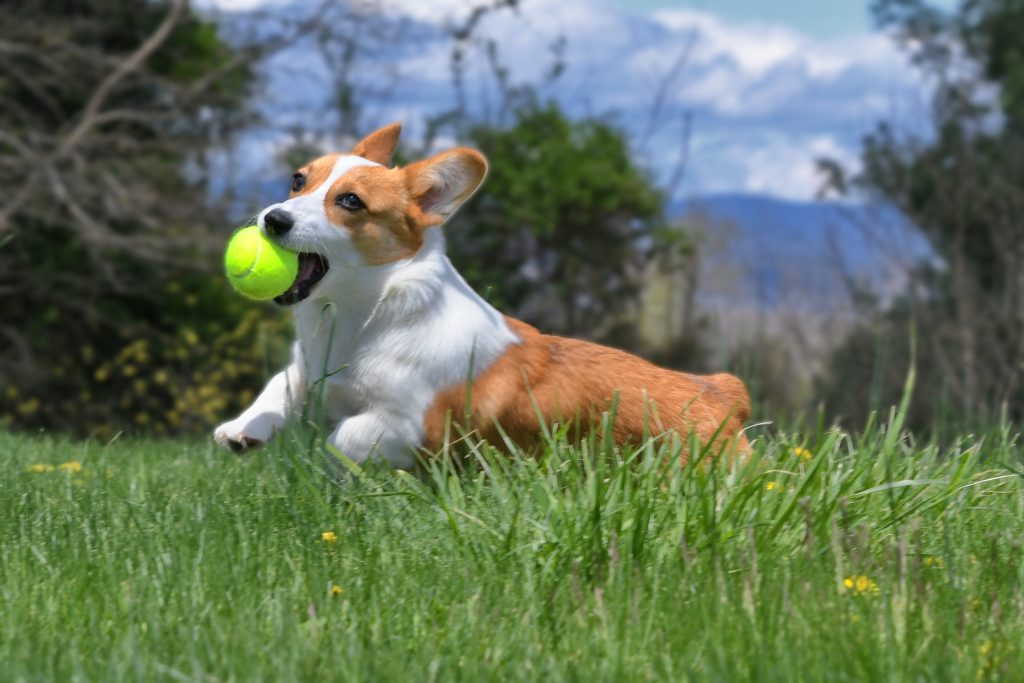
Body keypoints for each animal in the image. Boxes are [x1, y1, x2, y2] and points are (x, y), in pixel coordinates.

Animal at [211, 124, 749, 471]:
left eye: (350, 201)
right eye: (298, 180)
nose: (273, 219)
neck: (362, 315)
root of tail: (723, 393)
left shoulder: (407, 423)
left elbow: (345, 437)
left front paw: (328, 469)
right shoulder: (309, 369)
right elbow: (281, 384)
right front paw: (244, 428)